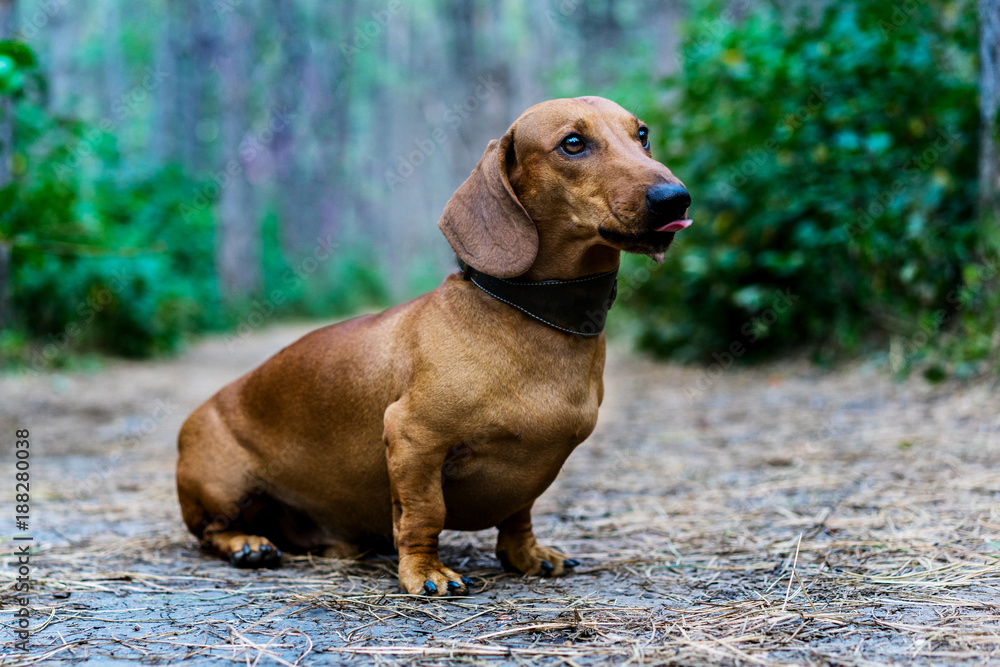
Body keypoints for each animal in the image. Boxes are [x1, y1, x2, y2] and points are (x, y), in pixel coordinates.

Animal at [176, 95, 692, 596]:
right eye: (572, 143)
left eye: (642, 134)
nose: (677, 199)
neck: (533, 315)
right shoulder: (412, 438)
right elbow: (425, 513)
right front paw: (425, 571)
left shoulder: (533, 469)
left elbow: (519, 516)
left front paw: (527, 556)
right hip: (224, 486)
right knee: (210, 533)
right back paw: (247, 544)